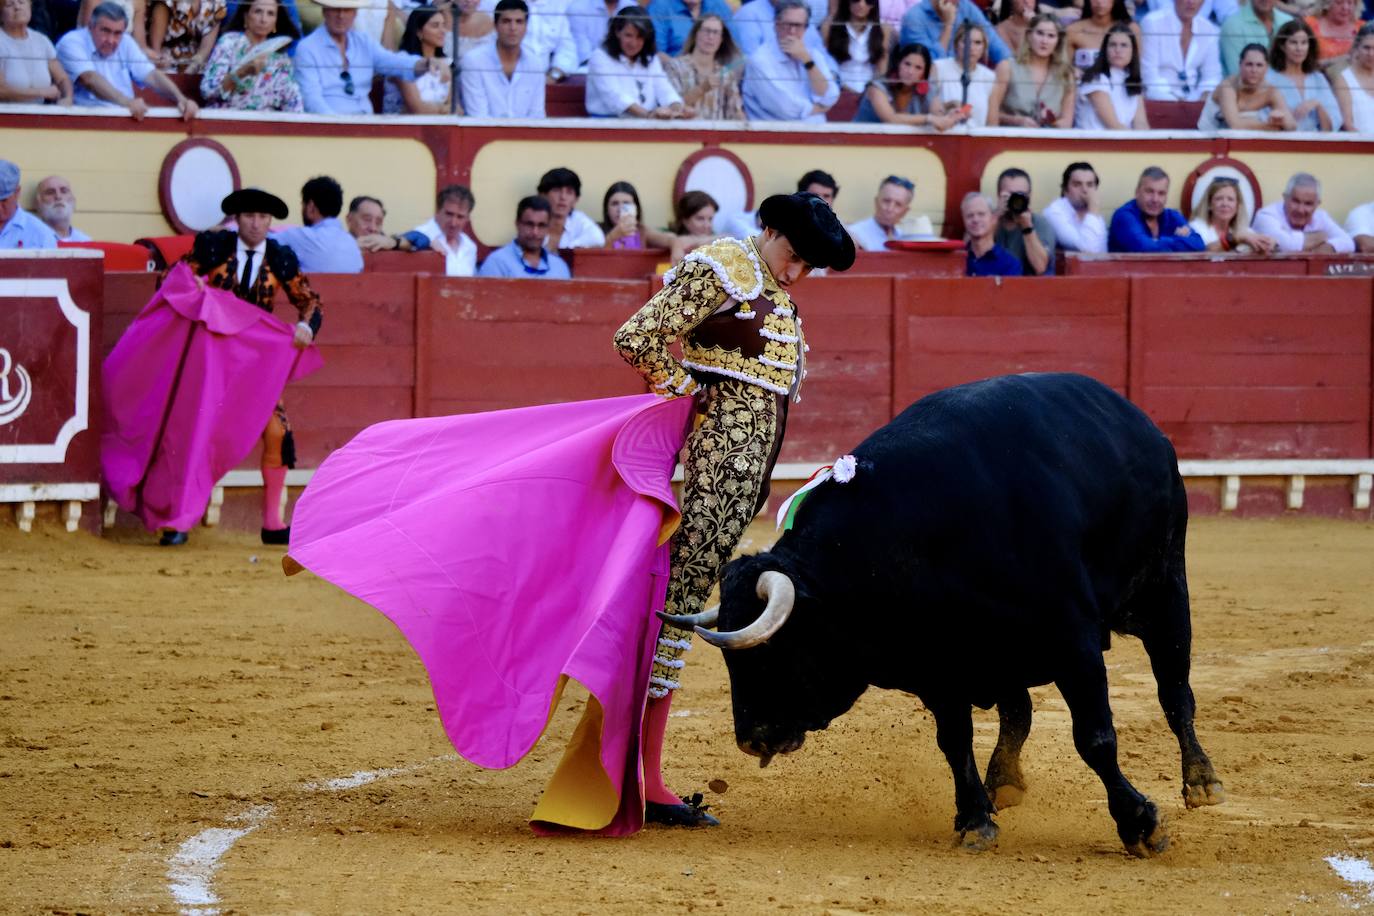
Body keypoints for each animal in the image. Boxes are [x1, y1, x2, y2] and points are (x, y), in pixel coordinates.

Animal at [665, 373, 1225, 862]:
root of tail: (1136, 418)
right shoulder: (936, 666)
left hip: (1164, 589)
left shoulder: (1074, 644)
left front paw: (1141, 826)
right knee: (1019, 710)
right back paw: (1004, 782)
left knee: (1175, 692)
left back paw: (1202, 782)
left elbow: (1095, 738)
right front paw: (975, 821)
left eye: (773, 654)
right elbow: (955, 741)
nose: (750, 739)